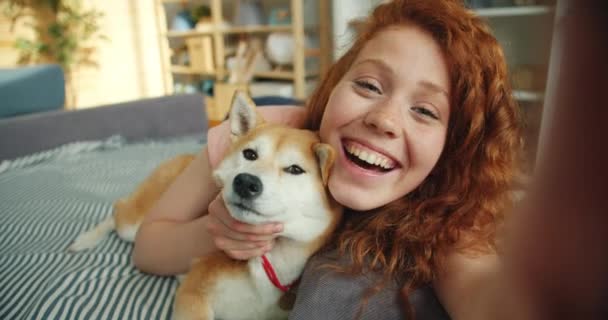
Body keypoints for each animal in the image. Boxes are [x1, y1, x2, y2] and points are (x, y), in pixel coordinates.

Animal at [68, 90, 342, 320]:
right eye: (250, 154)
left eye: (295, 169)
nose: (245, 182)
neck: (271, 261)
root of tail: (184, 158)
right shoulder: (193, 293)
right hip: (134, 225)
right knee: (118, 209)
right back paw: (85, 240)